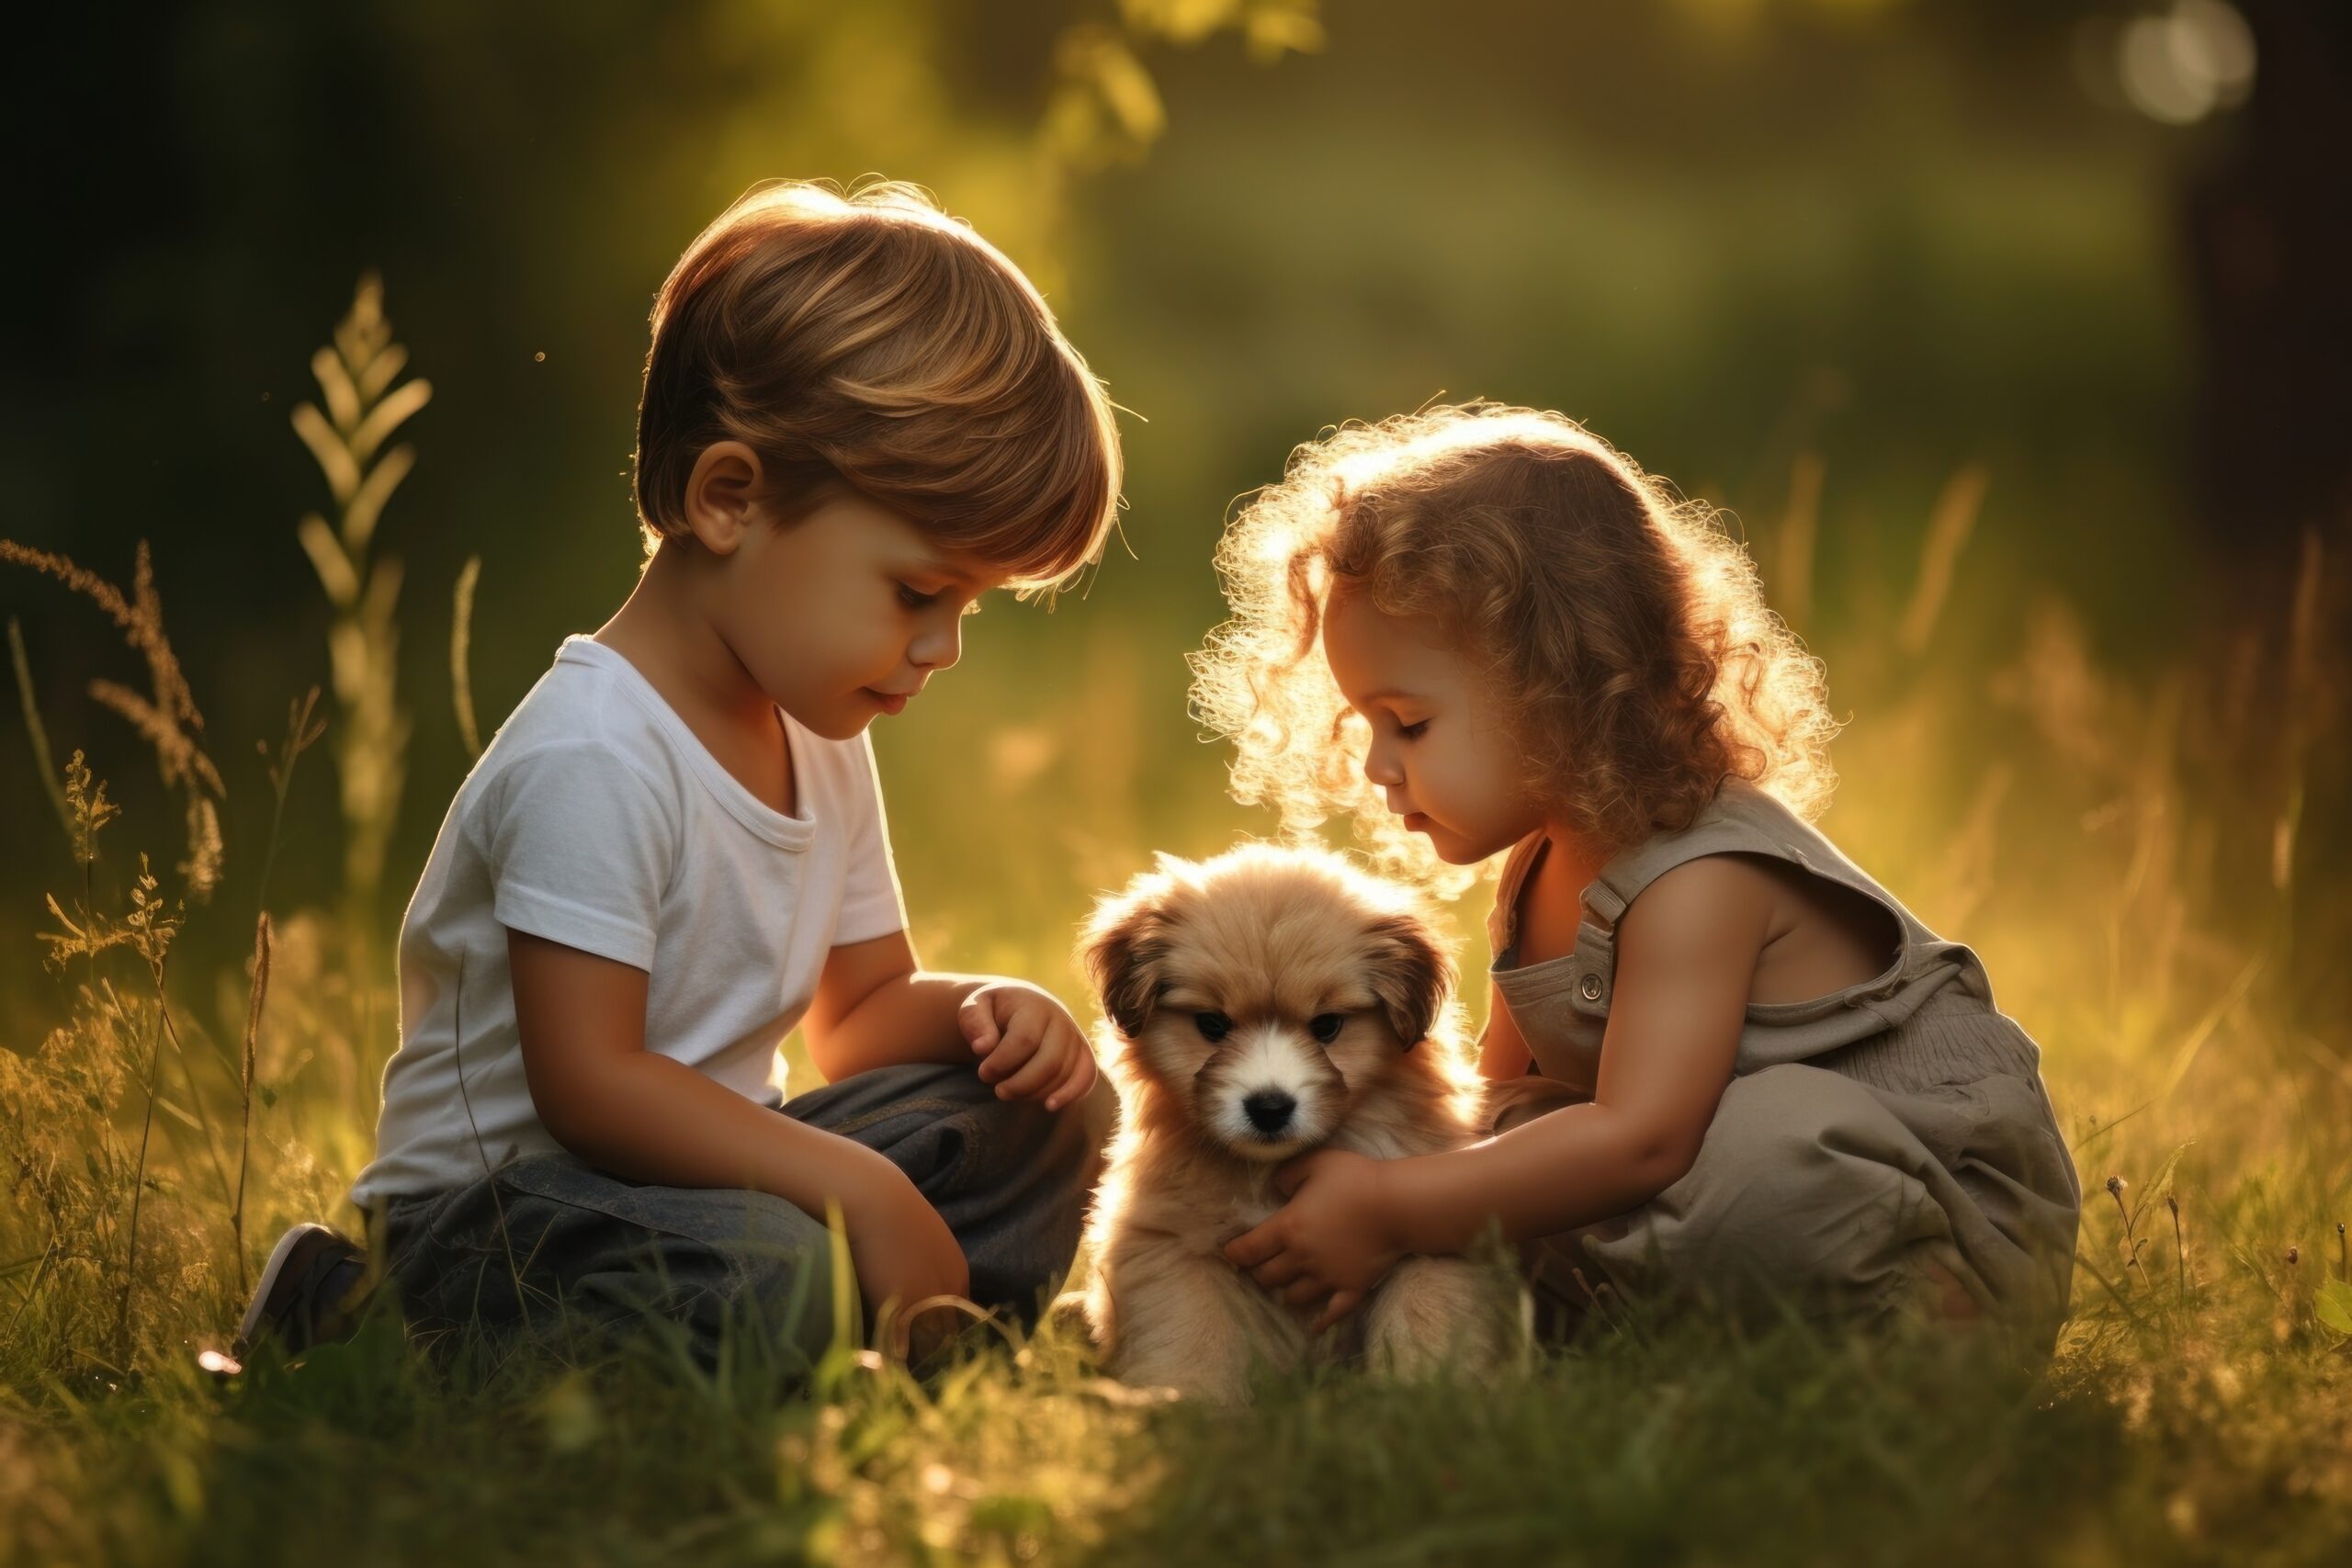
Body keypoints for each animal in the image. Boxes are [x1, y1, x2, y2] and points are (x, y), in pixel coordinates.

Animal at [1077, 841, 1514, 1401]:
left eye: (1326, 1026)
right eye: (1212, 1025)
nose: (1269, 1108)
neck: (1269, 1177)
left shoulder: (1429, 1239)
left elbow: (1423, 1316)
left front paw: (1425, 1399)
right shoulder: (1171, 1247)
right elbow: (1193, 1334)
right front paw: (1188, 1403)